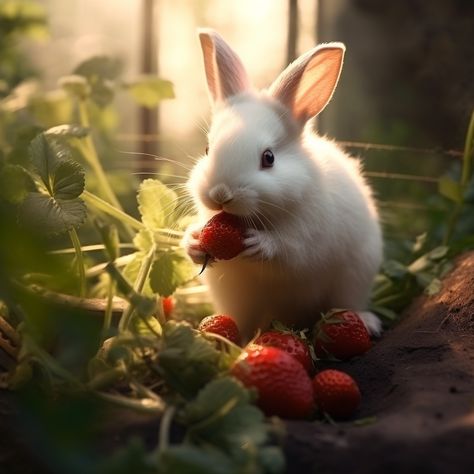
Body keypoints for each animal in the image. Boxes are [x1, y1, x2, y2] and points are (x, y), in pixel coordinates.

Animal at [183, 28, 384, 340]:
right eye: (207, 149)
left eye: (269, 158)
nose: (220, 194)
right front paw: (193, 242)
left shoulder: (307, 240)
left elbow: (287, 250)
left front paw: (258, 243)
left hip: (354, 278)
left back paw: (367, 322)